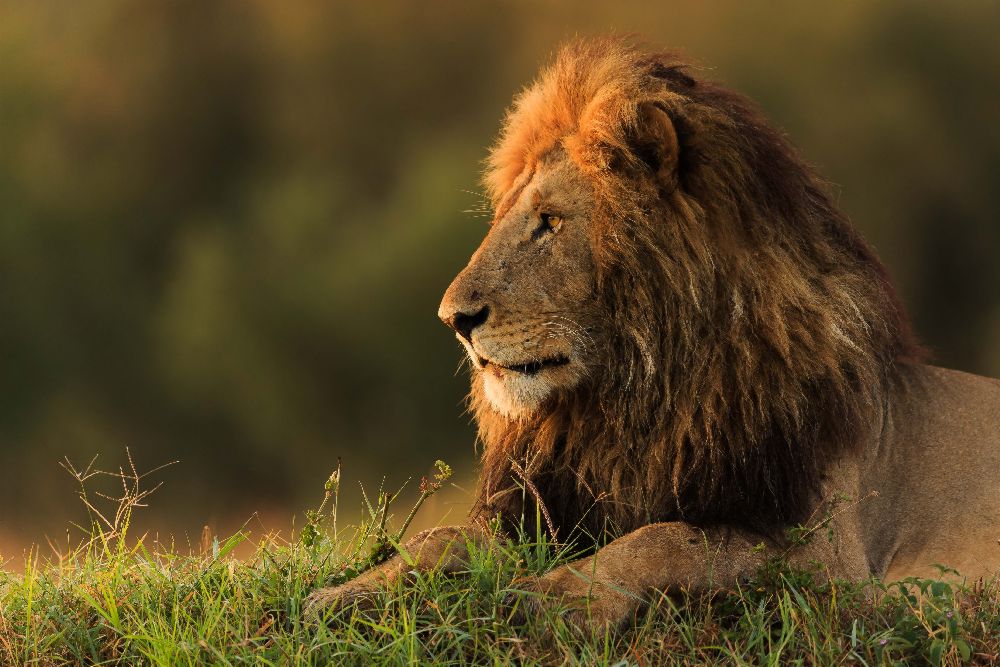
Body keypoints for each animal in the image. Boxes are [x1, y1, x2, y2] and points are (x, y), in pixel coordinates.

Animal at [306, 37, 1000, 632]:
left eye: (550, 222)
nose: (454, 318)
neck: (640, 398)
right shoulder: (552, 508)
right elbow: (439, 537)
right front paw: (339, 596)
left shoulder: (830, 561)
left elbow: (669, 539)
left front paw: (559, 597)